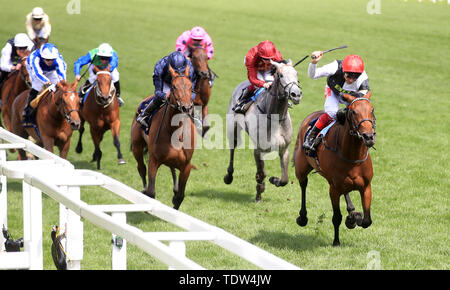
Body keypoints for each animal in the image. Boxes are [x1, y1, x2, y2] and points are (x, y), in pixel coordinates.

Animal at [129, 65, 194, 210]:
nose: (186, 107)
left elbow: (180, 197)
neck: (174, 131)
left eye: (191, 86)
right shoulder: (154, 160)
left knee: (172, 169)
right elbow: (151, 192)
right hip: (137, 146)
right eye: (174, 87)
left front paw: (175, 199)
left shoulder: (186, 166)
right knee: (141, 168)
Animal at [222, 59, 300, 202]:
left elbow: (284, 179)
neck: (275, 117)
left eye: (296, 74)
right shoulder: (258, 149)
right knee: (232, 148)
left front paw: (274, 179)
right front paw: (259, 193)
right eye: (281, 75)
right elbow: (261, 173)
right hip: (232, 128)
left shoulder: (284, 149)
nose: (296, 94)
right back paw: (228, 176)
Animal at [292, 92, 376, 246]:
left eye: (372, 110)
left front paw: (353, 218)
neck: (352, 156)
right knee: (303, 185)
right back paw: (302, 217)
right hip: (301, 169)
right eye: (353, 112)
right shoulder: (334, 189)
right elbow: (337, 217)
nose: (368, 136)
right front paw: (336, 241)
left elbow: (367, 220)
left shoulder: (366, 187)